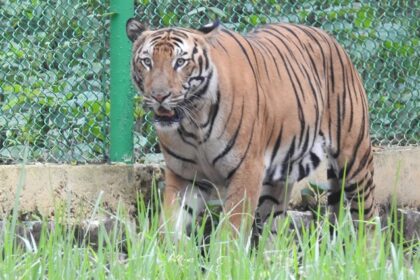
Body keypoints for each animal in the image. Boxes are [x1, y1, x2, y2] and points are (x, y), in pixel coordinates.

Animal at [125, 18, 378, 236]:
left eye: (180, 62)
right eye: (147, 61)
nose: (159, 96)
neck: (193, 123)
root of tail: (331, 39)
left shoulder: (246, 170)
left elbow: (232, 231)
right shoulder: (183, 176)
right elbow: (168, 228)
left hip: (354, 158)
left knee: (368, 216)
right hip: (279, 179)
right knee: (274, 229)